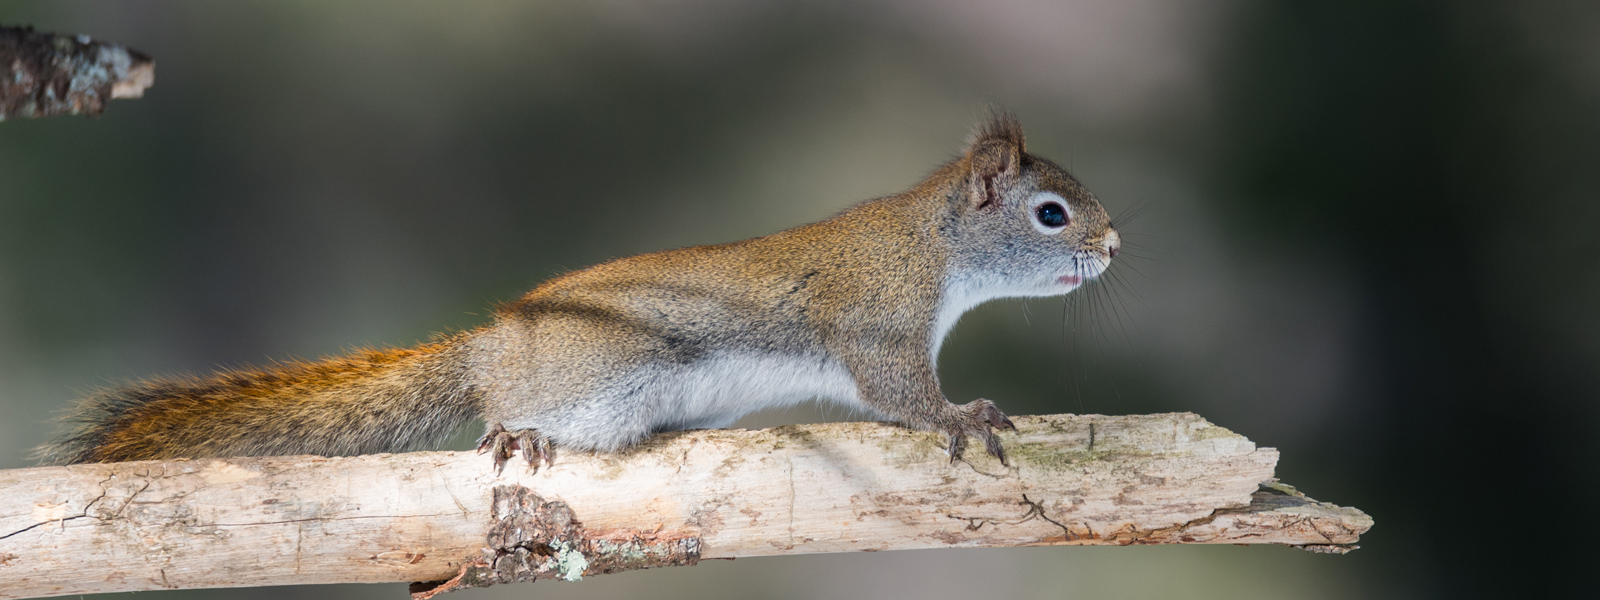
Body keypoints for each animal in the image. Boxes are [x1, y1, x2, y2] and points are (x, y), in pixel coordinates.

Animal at [34, 111, 1120, 471]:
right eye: (1049, 214)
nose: (1113, 244)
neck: (932, 245)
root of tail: (488, 341)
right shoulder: (879, 326)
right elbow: (902, 397)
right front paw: (962, 414)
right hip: (583, 378)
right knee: (509, 412)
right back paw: (514, 433)